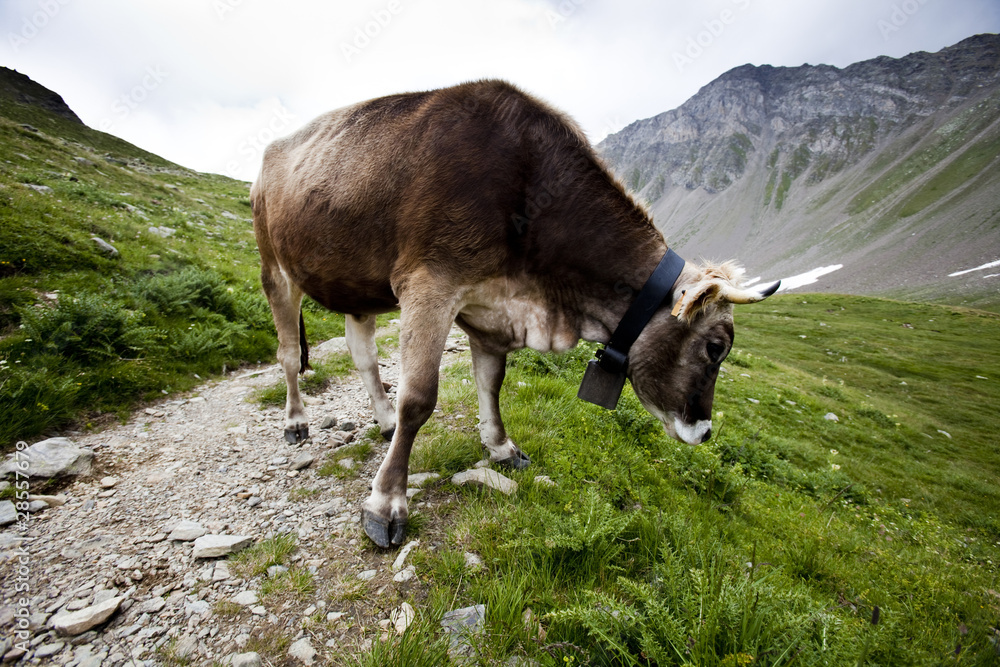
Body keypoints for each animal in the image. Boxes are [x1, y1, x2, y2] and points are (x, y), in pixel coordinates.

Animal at [251, 80, 778, 548]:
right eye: (715, 348)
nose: (704, 431)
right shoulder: (430, 283)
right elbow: (418, 399)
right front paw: (386, 503)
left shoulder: (491, 310)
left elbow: (491, 382)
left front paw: (501, 447)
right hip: (275, 267)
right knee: (288, 353)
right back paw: (296, 421)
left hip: (356, 287)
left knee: (362, 355)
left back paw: (381, 421)